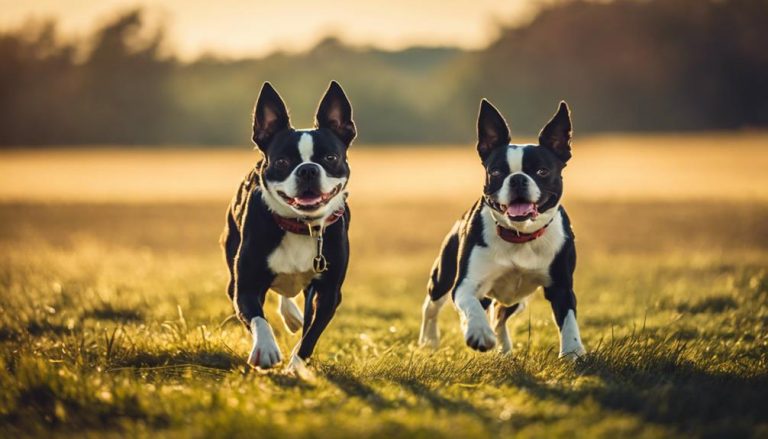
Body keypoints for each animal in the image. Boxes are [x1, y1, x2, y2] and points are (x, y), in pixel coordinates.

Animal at [220, 81, 356, 372]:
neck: (300, 226)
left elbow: (310, 335)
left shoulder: (328, 293)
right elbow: (258, 319)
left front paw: (296, 366)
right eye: (282, 162)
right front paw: (266, 349)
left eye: (330, 157)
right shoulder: (245, 286)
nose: (307, 170)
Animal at [416, 100, 584, 360]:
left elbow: (568, 321)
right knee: (432, 306)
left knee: (499, 315)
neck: (520, 235)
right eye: (495, 172)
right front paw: (478, 332)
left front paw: (573, 352)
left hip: (517, 299)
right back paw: (429, 341)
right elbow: (472, 306)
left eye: (542, 171)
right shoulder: (466, 283)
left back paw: (503, 348)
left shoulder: (561, 286)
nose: (517, 179)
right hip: (443, 275)